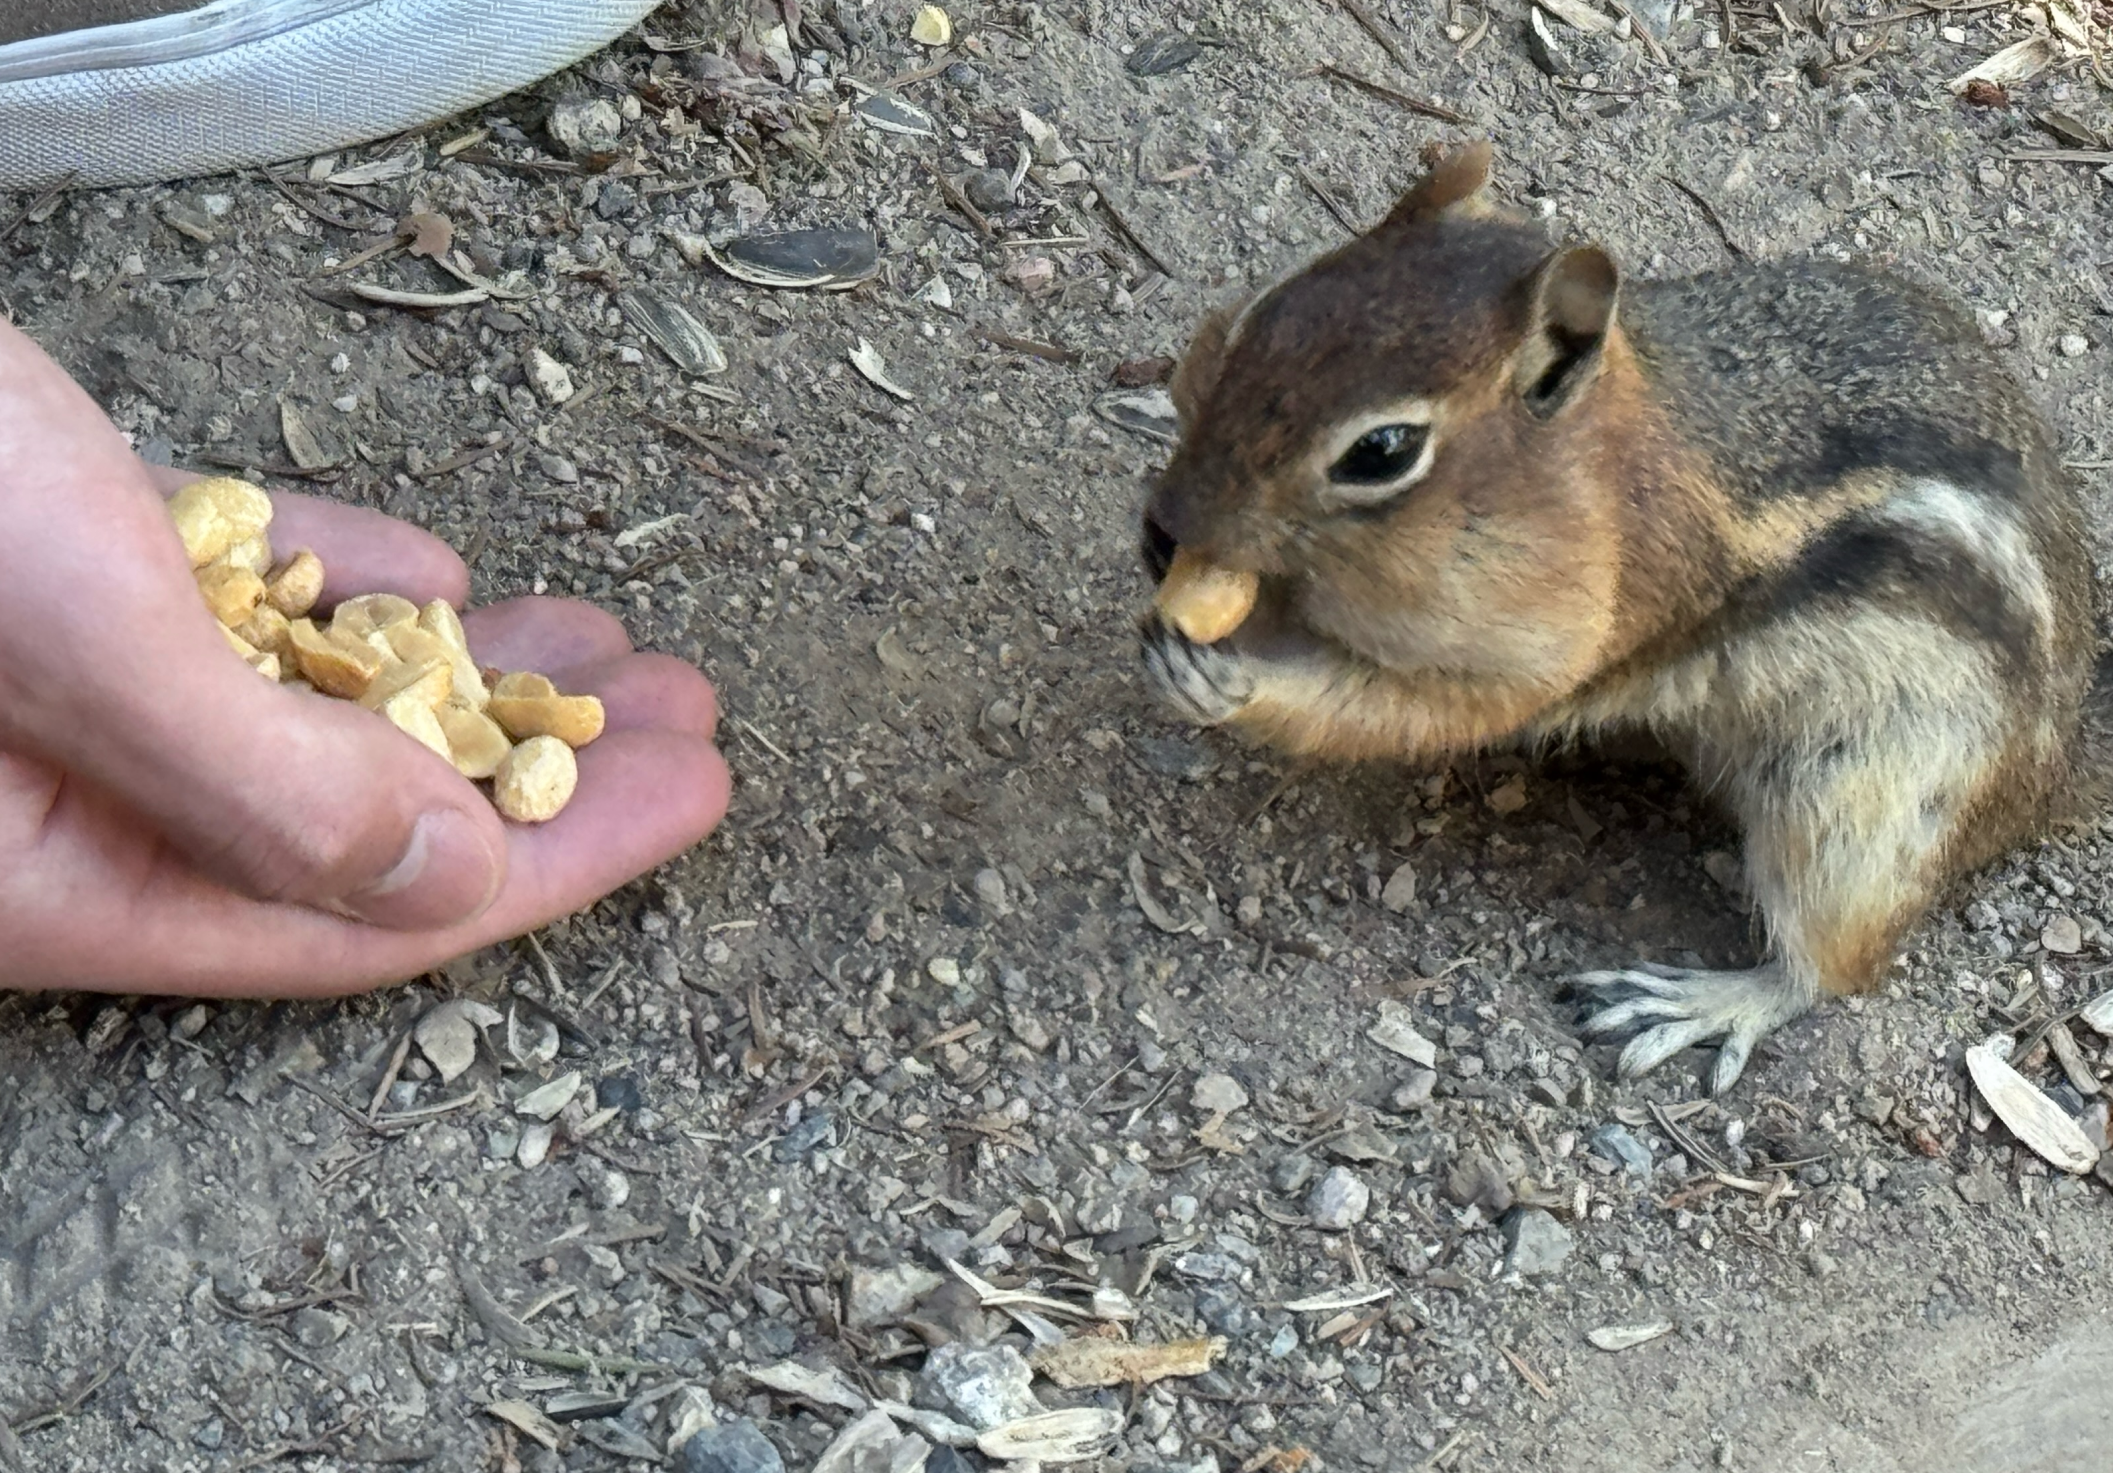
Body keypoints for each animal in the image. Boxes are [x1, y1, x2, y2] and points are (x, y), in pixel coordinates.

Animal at [1141, 143, 2096, 1098]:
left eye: (1382, 450)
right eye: (1263, 314)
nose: (1163, 527)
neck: (1598, 482)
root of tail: (2050, 784)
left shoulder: (1559, 649)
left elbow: (1408, 713)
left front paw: (1230, 679)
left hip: (1859, 806)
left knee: (1830, 965)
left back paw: (1706, 1002)